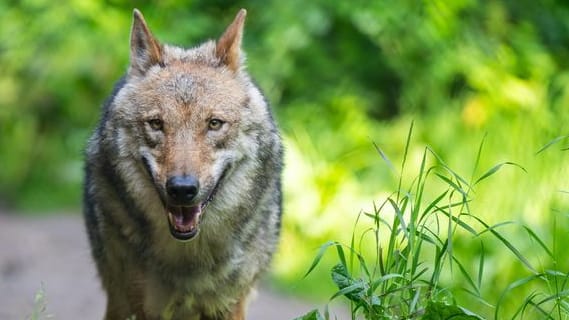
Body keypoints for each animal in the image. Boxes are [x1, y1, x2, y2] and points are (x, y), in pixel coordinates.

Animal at [82, 8, 282, 320]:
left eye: (214, 124)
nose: (182, 189)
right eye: (156, 124)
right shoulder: (143, 306)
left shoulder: (231, 305)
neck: (188, 258)